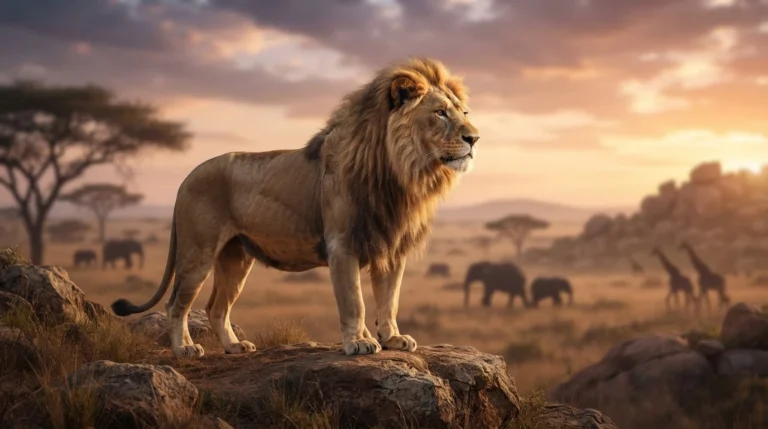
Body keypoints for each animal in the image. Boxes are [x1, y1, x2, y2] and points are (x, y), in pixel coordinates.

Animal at [110, 57, 480, 358]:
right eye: (440, 112)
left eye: (463, 113)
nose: (474, 138)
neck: (402, 172)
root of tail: (185, 178)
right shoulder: (342, 245)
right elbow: (354, 302)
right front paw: (359, 342)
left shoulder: (391, 246)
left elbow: (390, 299)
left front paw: (392, 339)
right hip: (197, 251)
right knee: (177, 303)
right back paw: (185, 349)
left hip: (235, 256)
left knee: (216, 307)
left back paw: (233, 346)